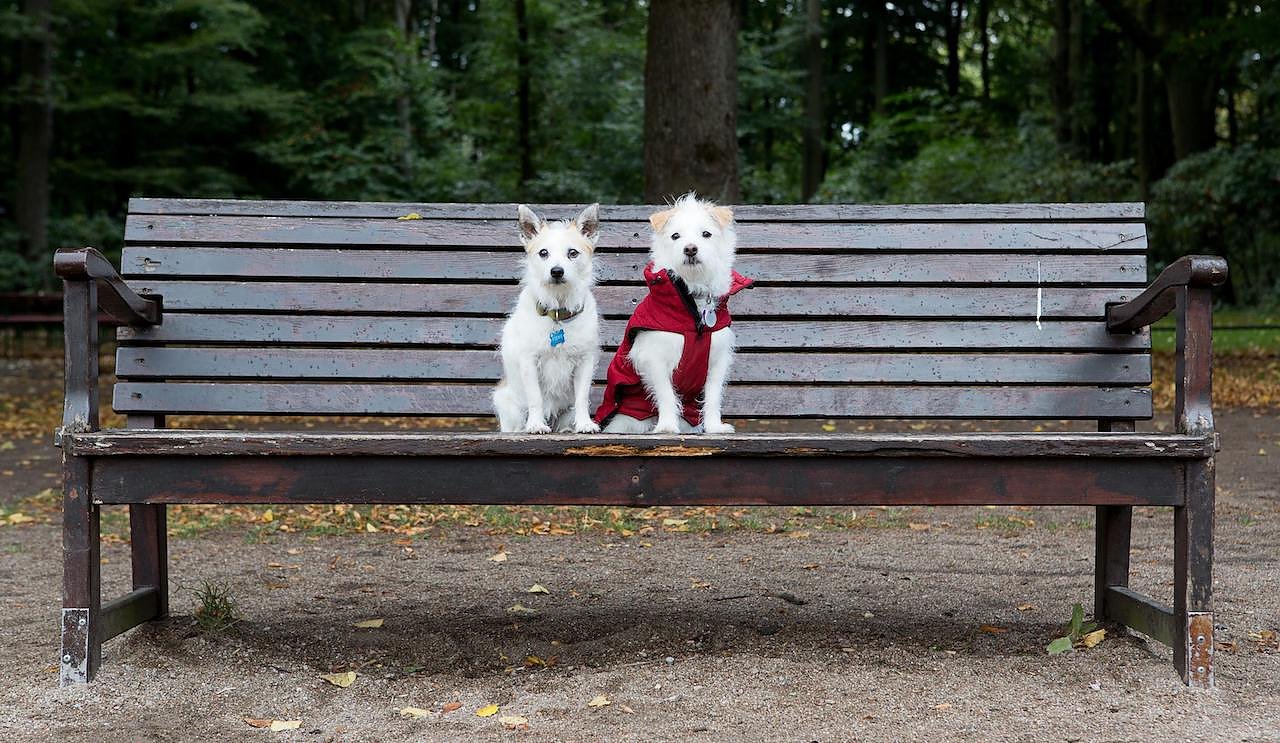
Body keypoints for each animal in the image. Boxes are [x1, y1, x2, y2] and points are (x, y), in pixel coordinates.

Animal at [493, 204, 602, 434]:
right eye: (543, 253)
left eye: (572, 253)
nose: (557, 271)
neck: (558, 313)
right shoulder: (529, 361)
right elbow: (535, 398)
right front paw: (536, 424)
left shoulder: (585, 362)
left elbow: (582, 397)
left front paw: (585, 423)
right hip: (506, 402)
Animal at [595, 193, 753, 434]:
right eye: (675, 236)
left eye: (706, 234)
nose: (690, 249)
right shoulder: (654, 359)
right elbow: (666, 394)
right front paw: (668, 425)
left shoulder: (717, 361)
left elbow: (713, 397)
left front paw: (714, 426)